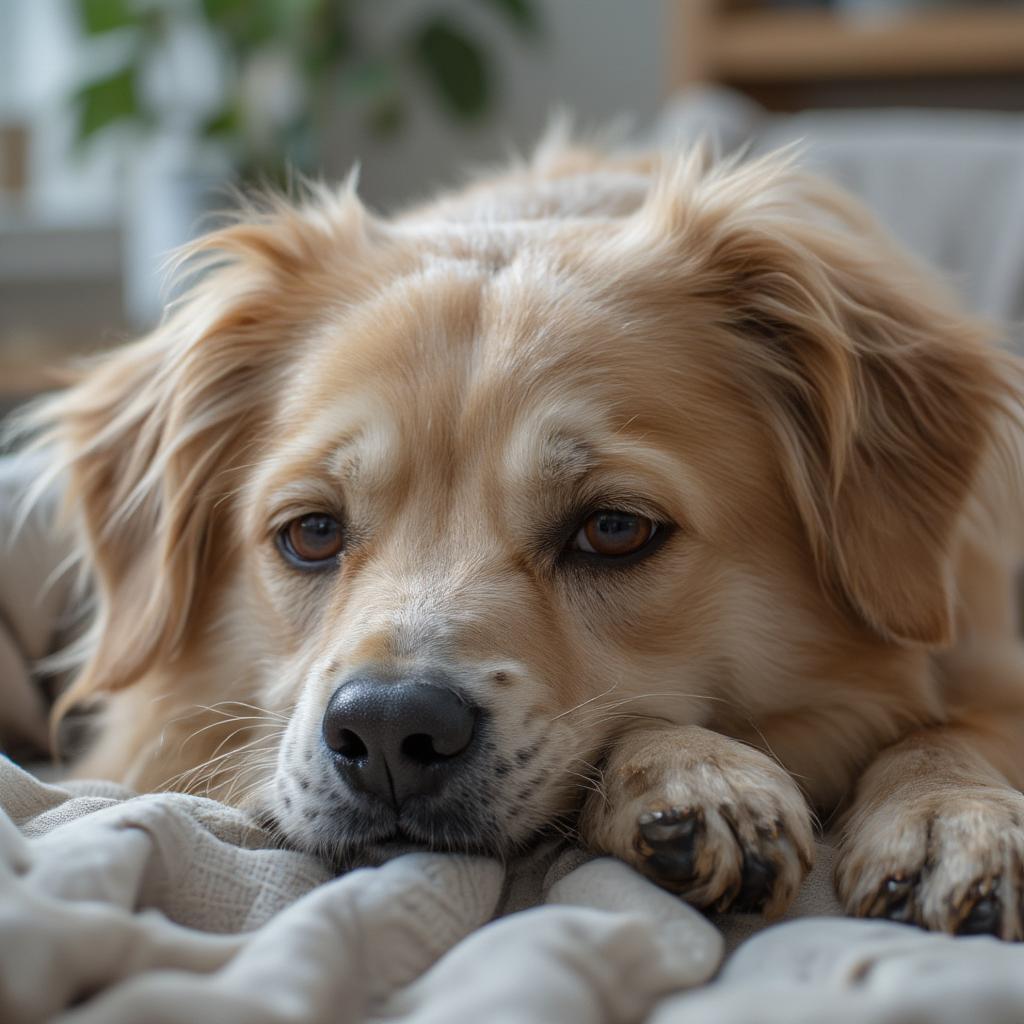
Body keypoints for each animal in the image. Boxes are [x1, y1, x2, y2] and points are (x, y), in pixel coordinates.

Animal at [22, 140, 1024, 937]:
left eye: (615, 529)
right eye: (310, 532)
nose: (387, 729)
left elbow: (950, 726)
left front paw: (948, 810)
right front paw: (696, 770)